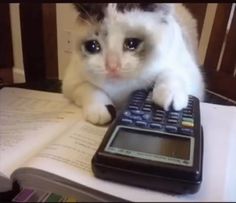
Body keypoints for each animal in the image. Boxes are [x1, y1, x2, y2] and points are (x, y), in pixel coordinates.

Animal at [62, 3, 205, 125]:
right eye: (92, 46)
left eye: (132, 43)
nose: (112, 66)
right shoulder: (71, 82)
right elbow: (89, 88)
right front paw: (100, 110)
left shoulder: (192, 75)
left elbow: (170, 73)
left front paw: (168, 97)